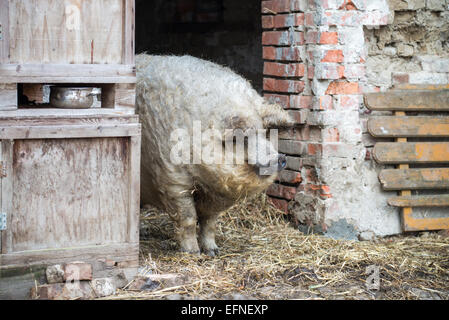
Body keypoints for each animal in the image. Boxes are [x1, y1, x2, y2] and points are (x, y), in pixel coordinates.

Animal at [135, 55, 292, 255]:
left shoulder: (216, 195)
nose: (281, 158)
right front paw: (193, 253)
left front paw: (213, 251)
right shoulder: (172, 180)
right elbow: (188, 218)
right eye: (243, 138)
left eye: (265, 133)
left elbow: (210, 221)